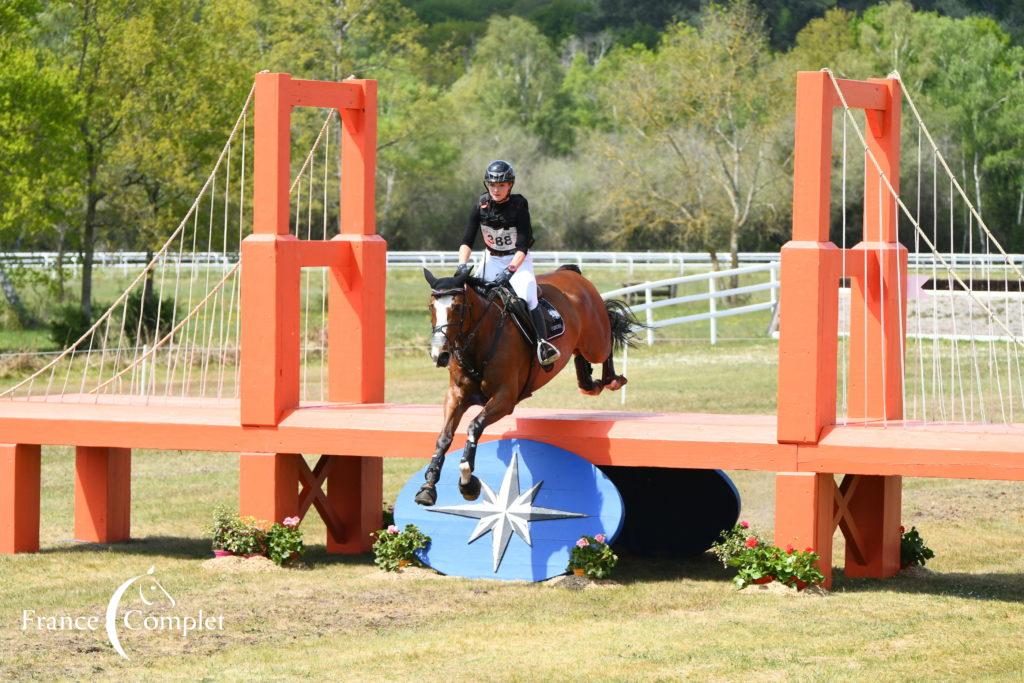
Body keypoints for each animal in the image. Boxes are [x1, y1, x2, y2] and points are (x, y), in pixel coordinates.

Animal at [411, 266, 634, 507]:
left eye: (458, 307)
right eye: (431, 306)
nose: (440, 355)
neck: (479, 339)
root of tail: (571, 272)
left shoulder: (505, 398)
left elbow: (474, 426)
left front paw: (467, 482)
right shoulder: (456, 395)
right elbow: (444, 437)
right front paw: (428, 486)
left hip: (595, 342)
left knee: (608, 335)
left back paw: (612, 379)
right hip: (580, 343)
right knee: (580, 357)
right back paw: (589, 383)